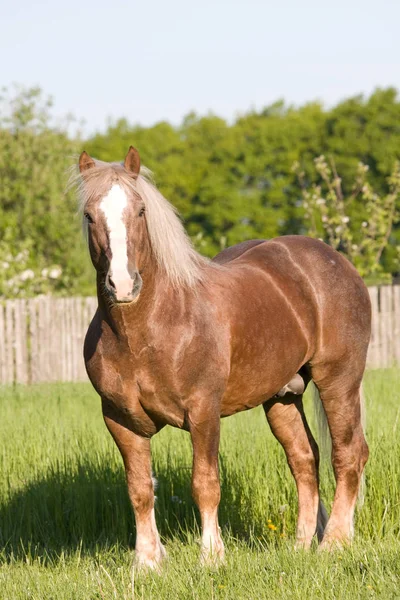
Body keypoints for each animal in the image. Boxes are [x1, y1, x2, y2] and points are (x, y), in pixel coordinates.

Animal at [73, 145, 370, 568]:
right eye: (89, 215)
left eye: (141, 211)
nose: (124, 284)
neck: (148, 329)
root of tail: (334, 261)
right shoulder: (120, 420)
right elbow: (139, 488)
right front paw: (146, 562)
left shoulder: (203, 411)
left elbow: (205, 483)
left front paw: (211, 556)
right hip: (282, 397)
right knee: (304, 459)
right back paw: (300, 546)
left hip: (339, 381)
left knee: (347, 454)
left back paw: (334, 543)